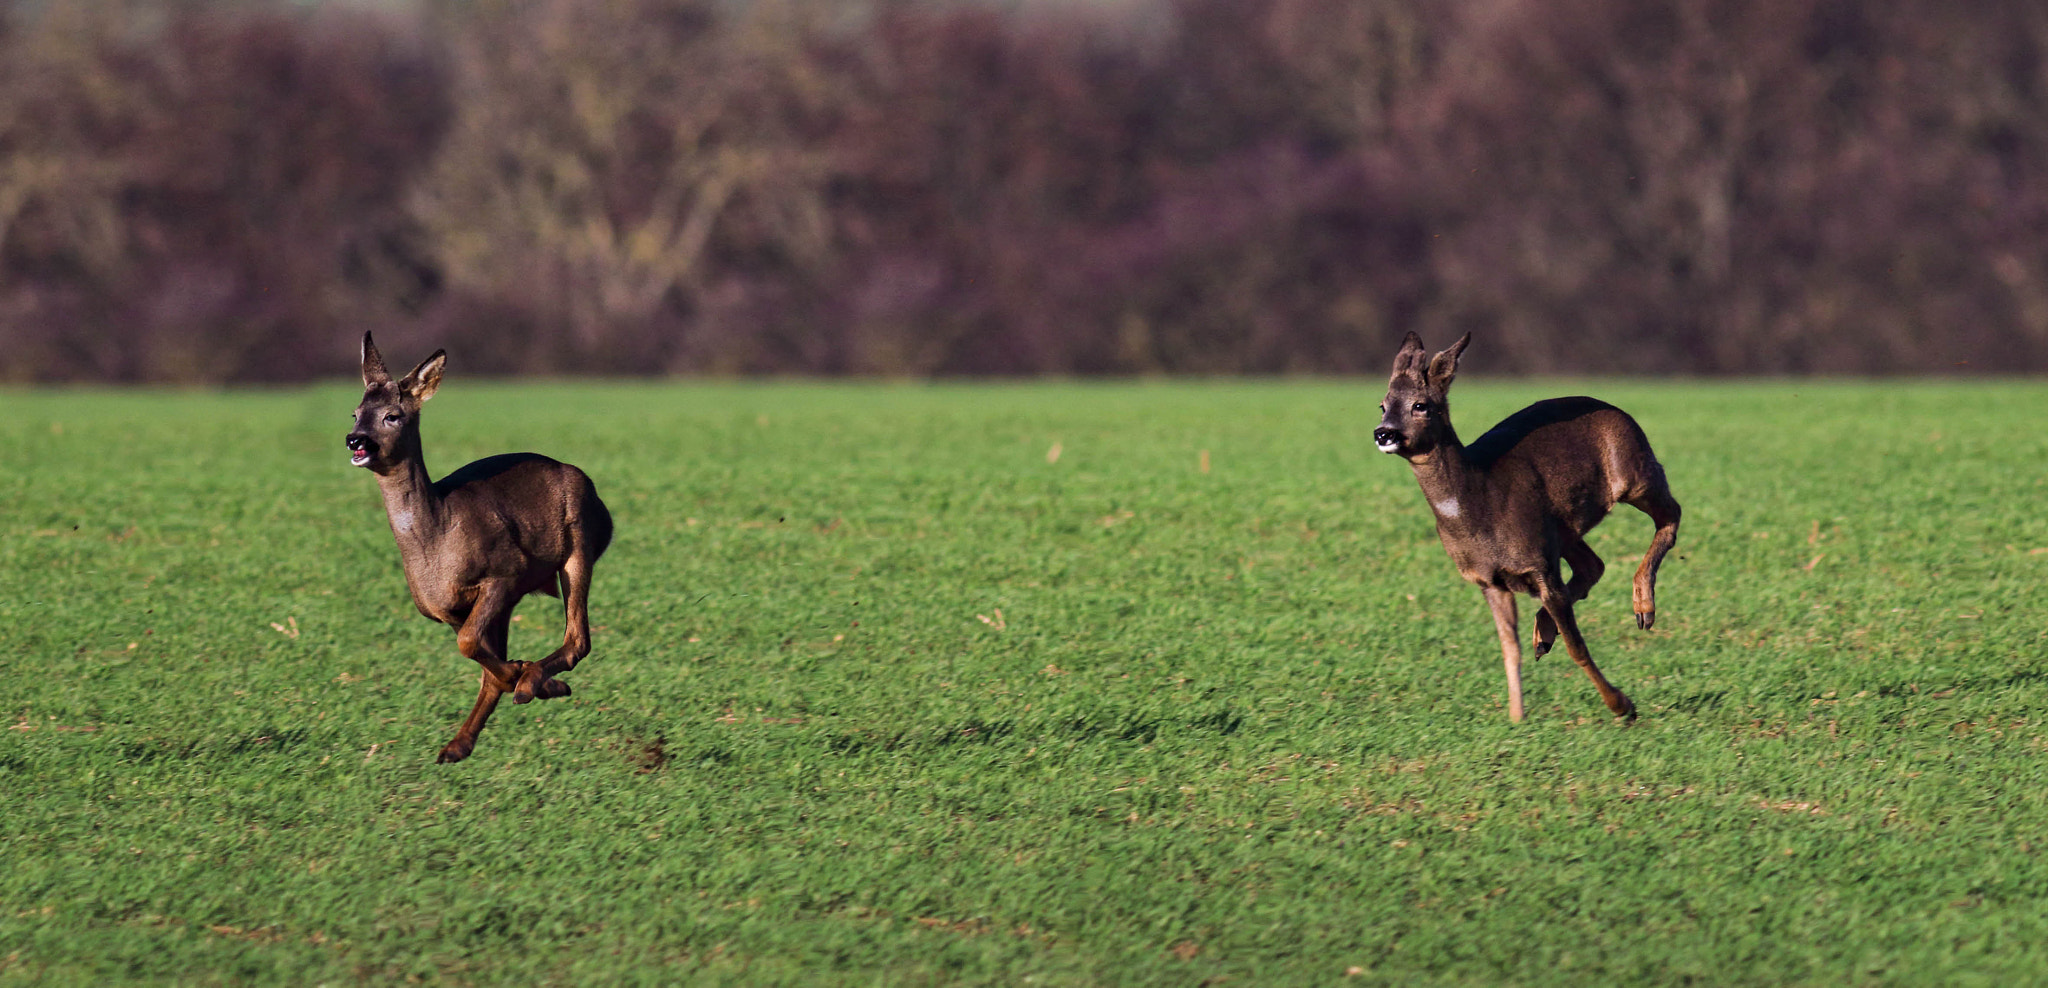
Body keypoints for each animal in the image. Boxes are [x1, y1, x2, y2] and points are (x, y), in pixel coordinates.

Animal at [344, 332, 610, 762]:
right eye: (354, 413)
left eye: (392, 416)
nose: (356, 441)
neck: (437, 542)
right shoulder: (446, 608)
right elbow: (479, 657)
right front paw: (524, 676)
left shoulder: (505, 571)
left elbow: (470, 645)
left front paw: (522, 674)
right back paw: (458, 744)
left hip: (579, 545)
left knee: (578, 638)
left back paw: (529, 683)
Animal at [1376, 332, 1679, 717]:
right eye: (1382, 405)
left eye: (1420, 405)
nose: (1383, 434)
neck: (1480, 501)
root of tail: (1616, 408)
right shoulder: (1490, 580)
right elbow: (1510, 651)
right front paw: (1516, 718)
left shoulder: (1539, 563)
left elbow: (1577, 647)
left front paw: (1622, 706)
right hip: (1561, 527)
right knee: (1593, 564)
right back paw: (1544, 634)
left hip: (1635, 474)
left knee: (1672, 514)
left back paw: (1643, 610)